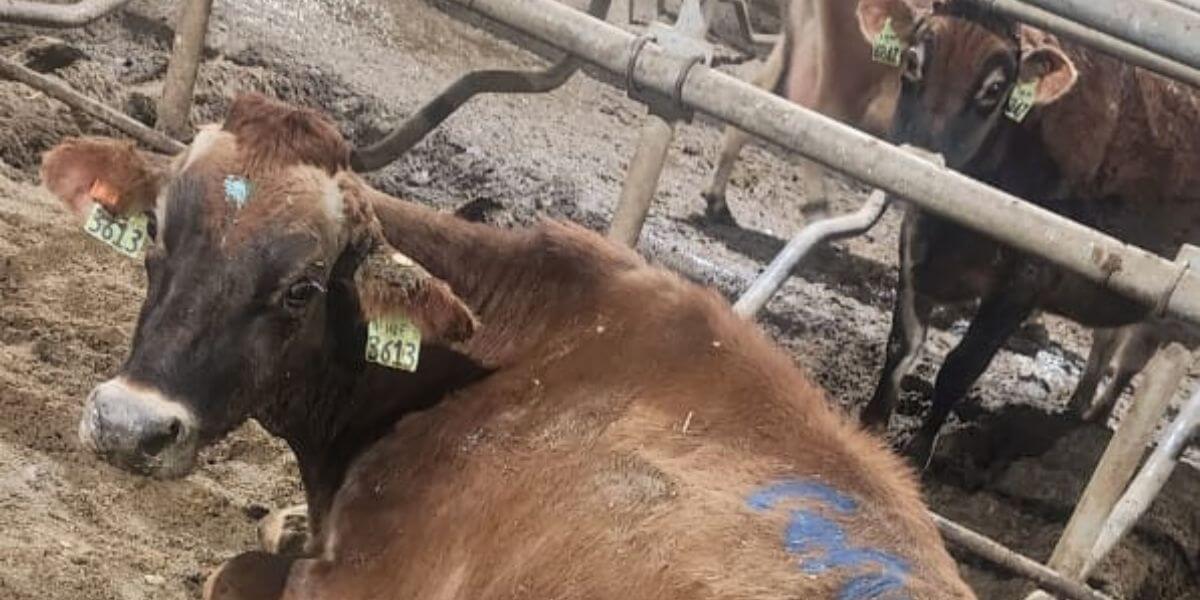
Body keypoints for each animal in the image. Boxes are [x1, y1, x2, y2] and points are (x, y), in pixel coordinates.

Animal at [853, 0, 1200, 466]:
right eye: (911, 62)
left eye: (994, 89)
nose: (922, 158)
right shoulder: (916, 240)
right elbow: (901, 346)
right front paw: (869, 432)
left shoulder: (1028, 278)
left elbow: (961, 366)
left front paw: (918, 452)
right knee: (1110, 343)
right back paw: (1077, 410)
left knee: (1131, 360)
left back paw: (1095, 420)